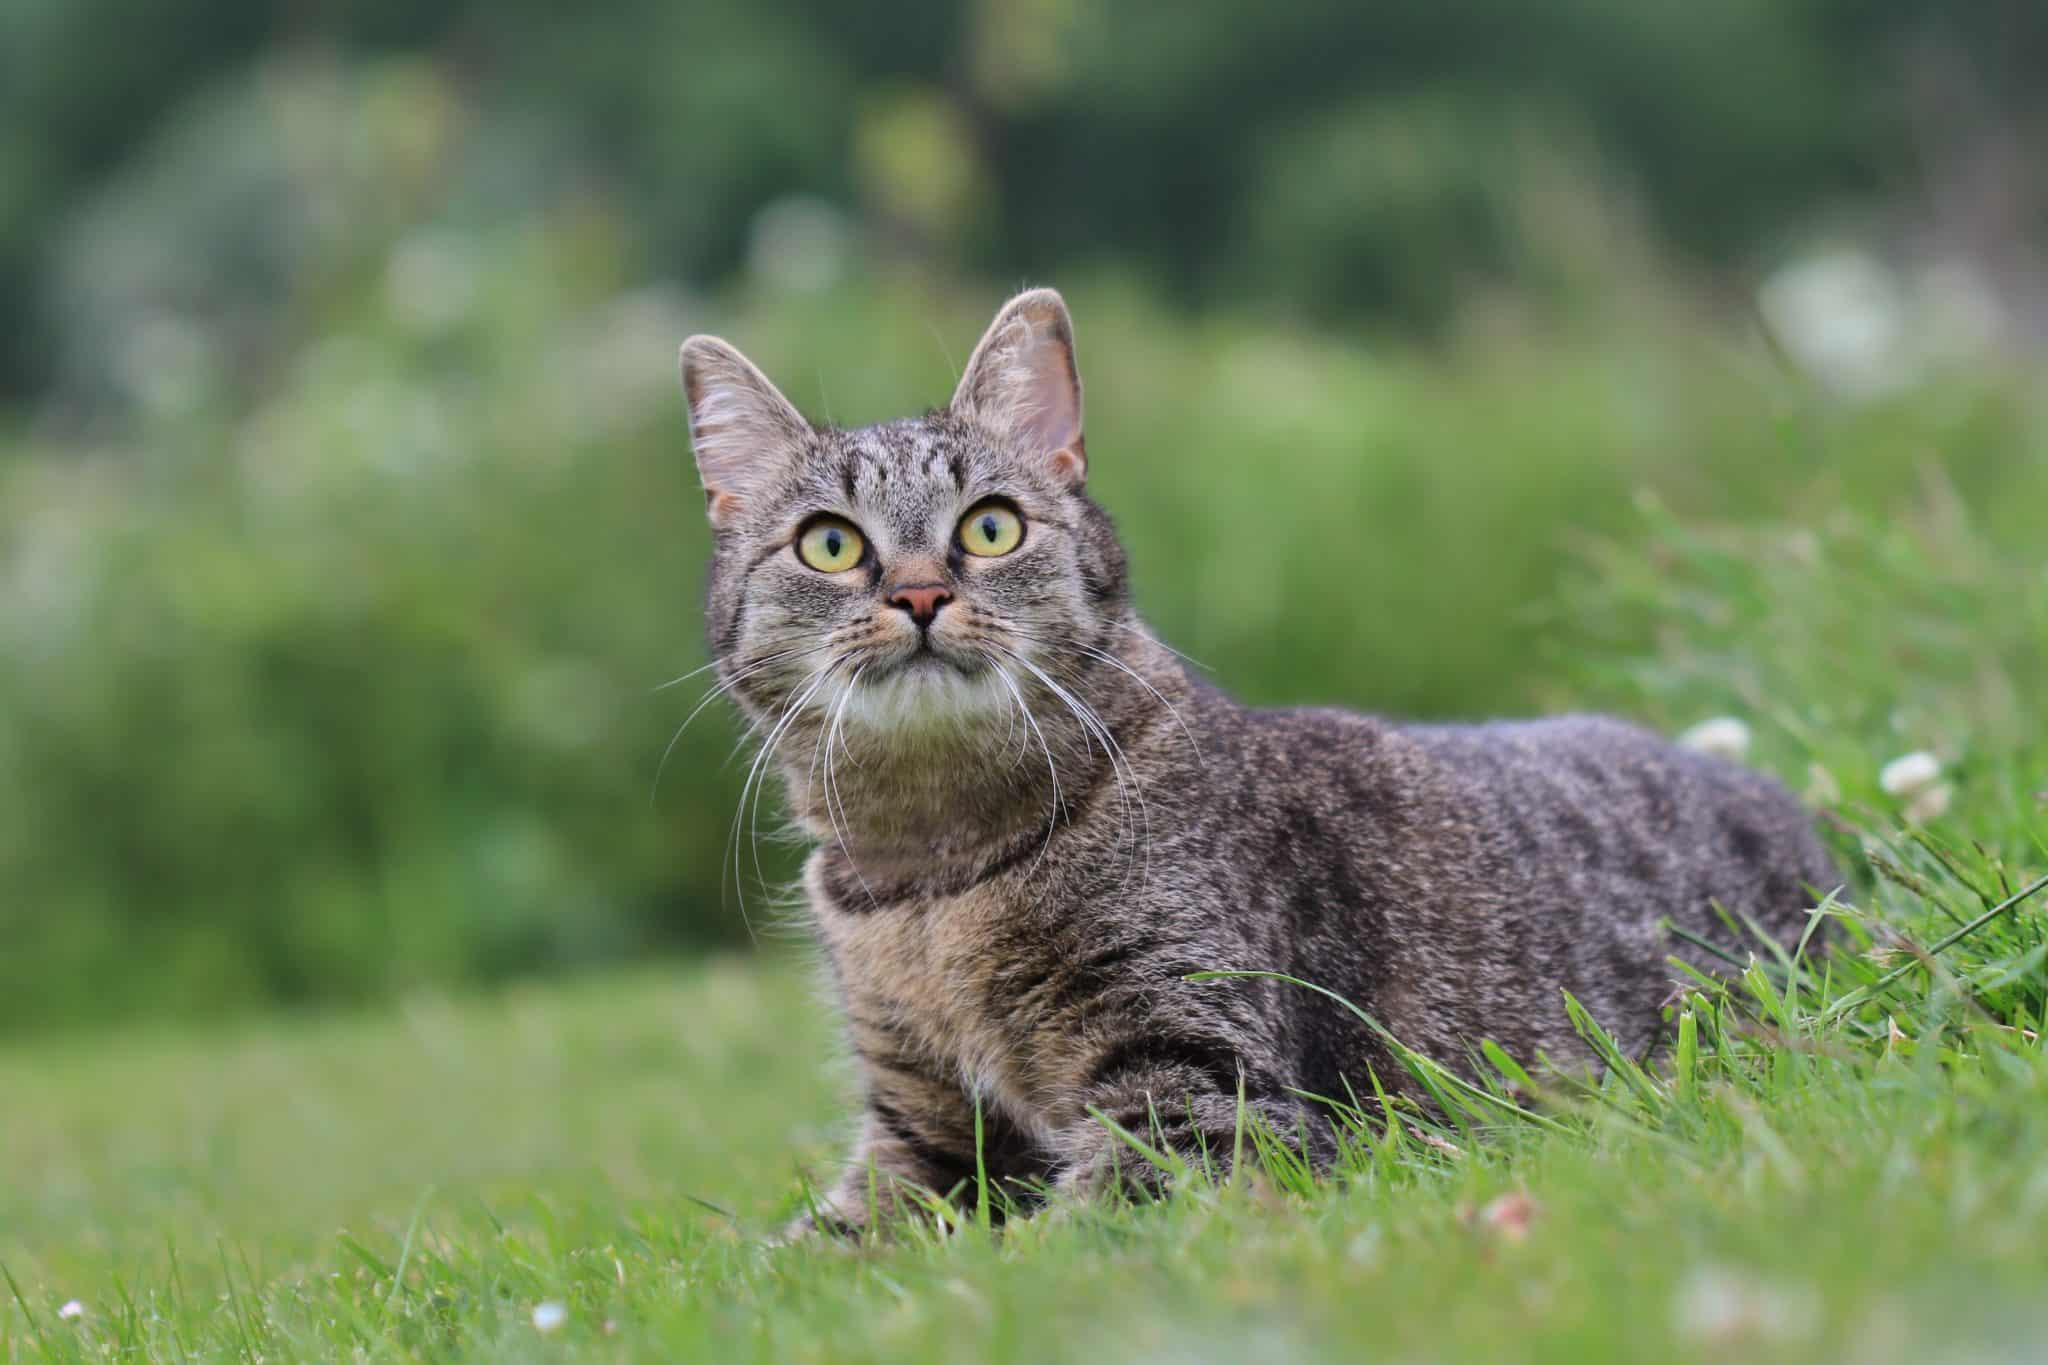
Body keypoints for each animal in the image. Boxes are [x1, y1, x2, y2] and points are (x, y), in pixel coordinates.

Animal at [671, 290, 1843, 1236]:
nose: (917, 592)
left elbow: (1061, 1241)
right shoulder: (918, 1133)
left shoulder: (1198, 1089)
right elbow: (802, 1263)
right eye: (831, 544)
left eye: (991, 528)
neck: (930, 867)